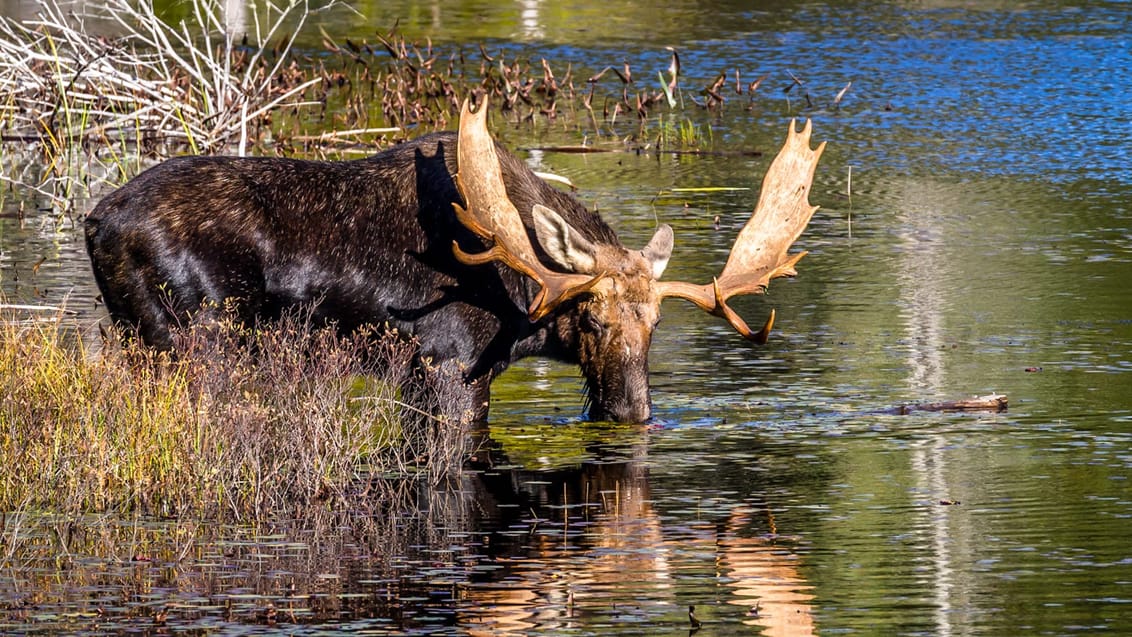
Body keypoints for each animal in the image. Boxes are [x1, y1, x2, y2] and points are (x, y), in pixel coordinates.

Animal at [79, 99, 824, 423]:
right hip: (195, 337)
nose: (634, 411)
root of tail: (94, 222)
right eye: (591, 321)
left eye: (656, 327)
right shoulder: (446, 365)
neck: (521, 310)